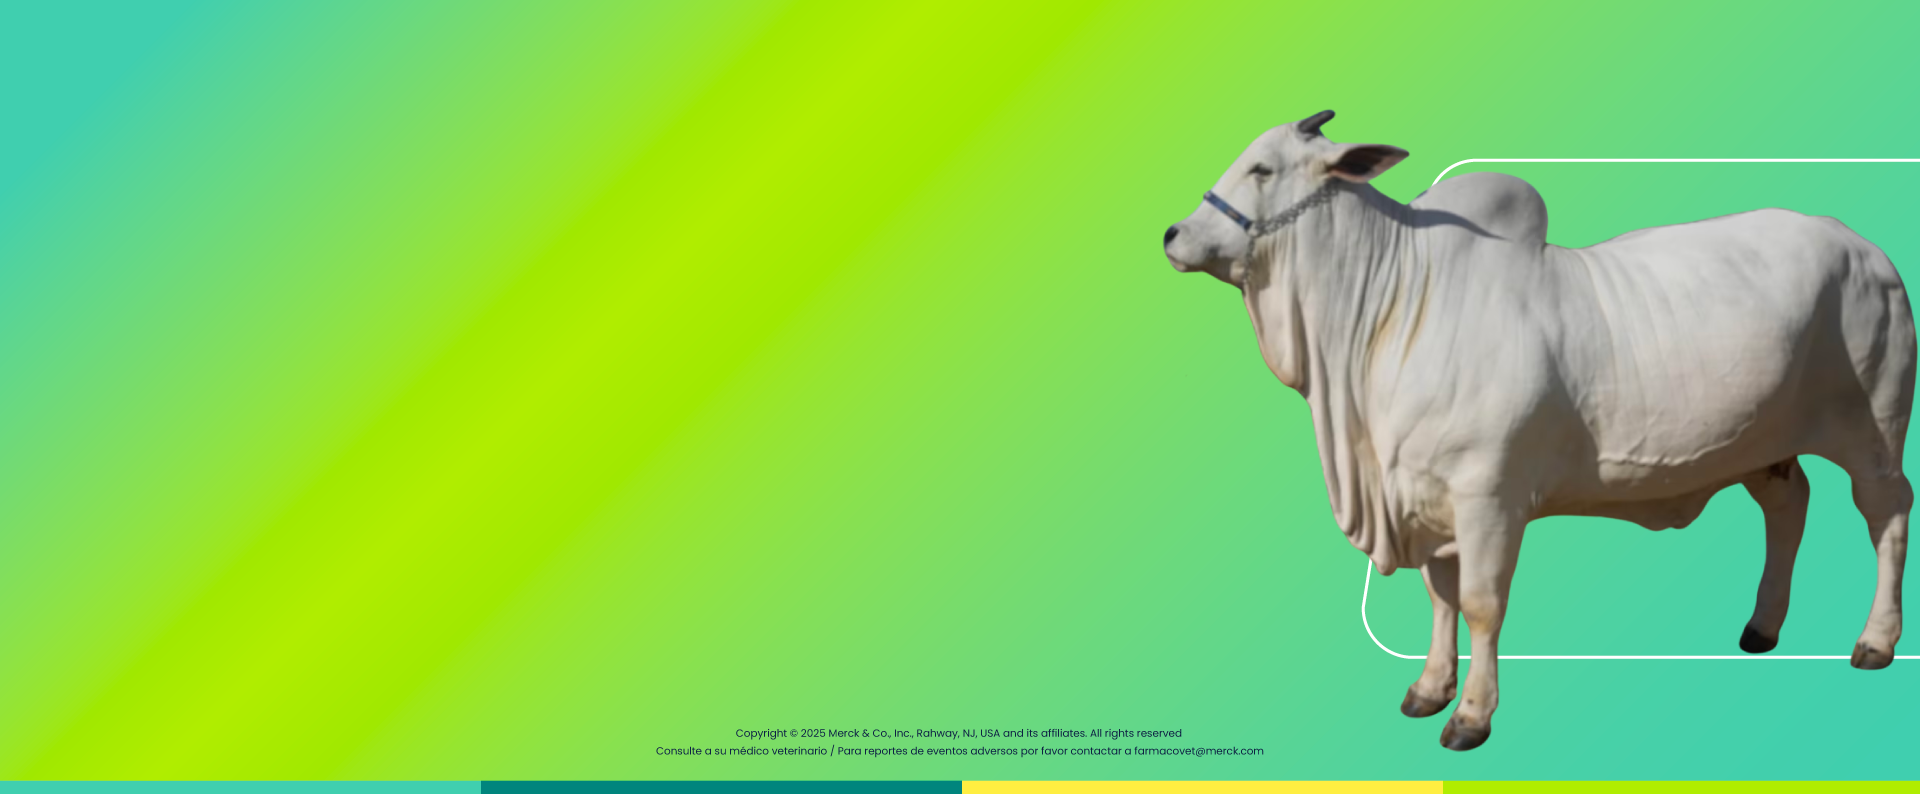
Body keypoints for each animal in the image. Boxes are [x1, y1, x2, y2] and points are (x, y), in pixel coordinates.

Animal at [1161, 110, 1913, 751]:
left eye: (1262, 168)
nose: (1171, 234)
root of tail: (1865, 247)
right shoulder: (1428, 498)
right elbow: (1440, 598)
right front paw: (1429, 688)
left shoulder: (1488, 497)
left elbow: (1480, 603)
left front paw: (1471, 715)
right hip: (1766, 445)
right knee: (1788, 506)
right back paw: (1762, 626)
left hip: (1872, 432)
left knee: (1887, 514)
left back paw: (1875, 641)